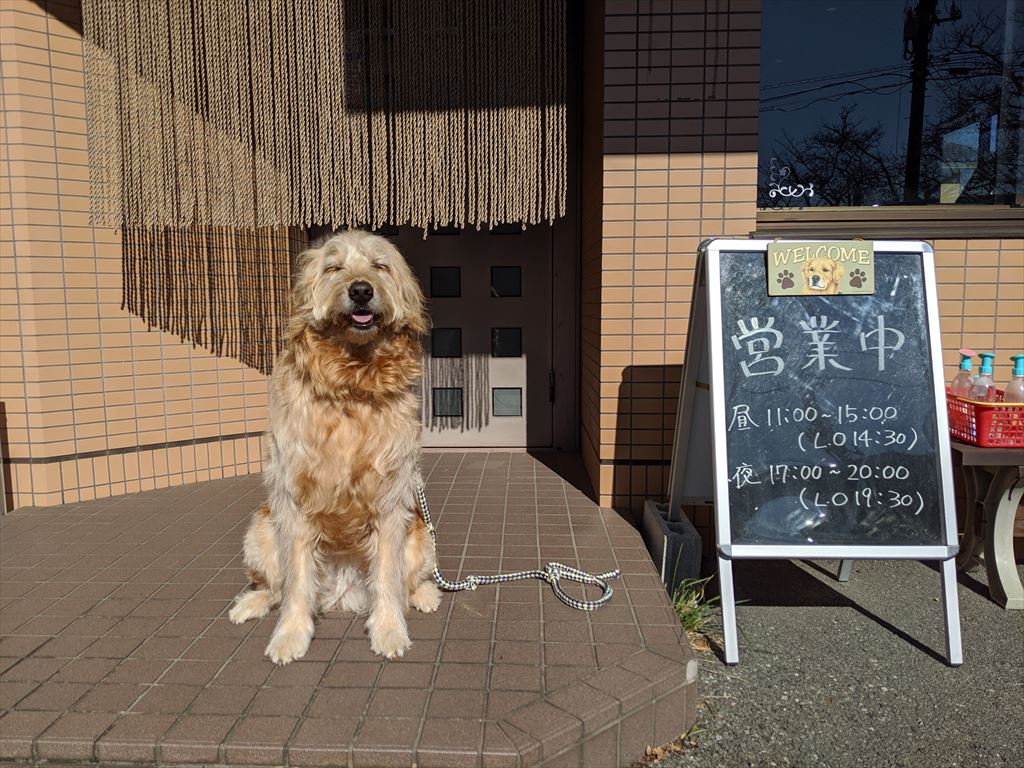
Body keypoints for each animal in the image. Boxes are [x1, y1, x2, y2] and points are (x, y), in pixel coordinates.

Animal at [228, 231, 440, 663]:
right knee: (274, 586)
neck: (350, 384)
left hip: (421, 535)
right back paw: (250, 604)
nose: (360, 291)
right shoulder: (292, 499)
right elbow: (295, 583)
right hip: (260, 529)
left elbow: (388, 577)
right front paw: (290, 634)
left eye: (379, 265)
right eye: (333, 267)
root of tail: (342, 594)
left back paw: (425, 595)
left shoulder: (392, 498)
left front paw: (389, 630)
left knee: (409, 582)